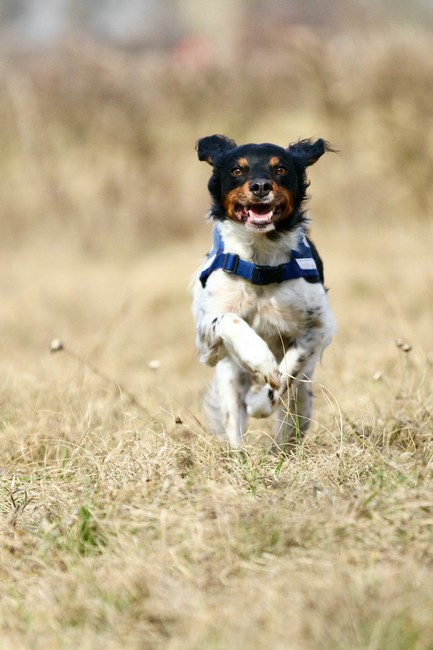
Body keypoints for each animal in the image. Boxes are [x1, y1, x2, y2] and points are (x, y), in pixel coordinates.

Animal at [192, 135, 336, 452]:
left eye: (280, 168)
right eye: (237, 170)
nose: (260, 186)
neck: (261, 265)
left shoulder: (319, 327)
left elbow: (286, 374)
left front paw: (262, 397)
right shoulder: (206, 342)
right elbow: (230, 320)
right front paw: (260, 360)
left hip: (303, 398)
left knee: (291, 413)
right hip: (229, 379)